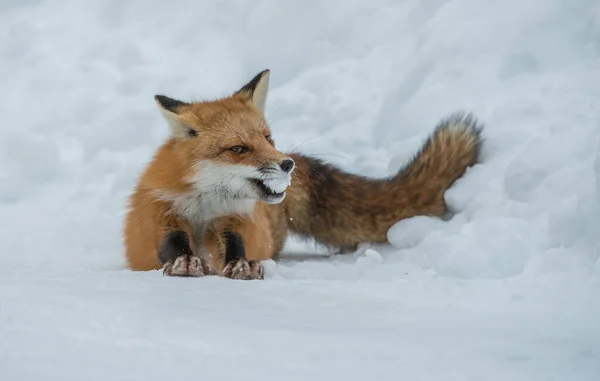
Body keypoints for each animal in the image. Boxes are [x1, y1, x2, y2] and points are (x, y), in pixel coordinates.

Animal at [123, 68, 482, 278]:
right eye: (239, 149)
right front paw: (185, 262)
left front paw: (240, 264)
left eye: (267, 139)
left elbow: (234, 248)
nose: (286, 164)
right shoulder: (162, 215)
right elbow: (172, 246)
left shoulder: (236, 221)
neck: (205, 206)